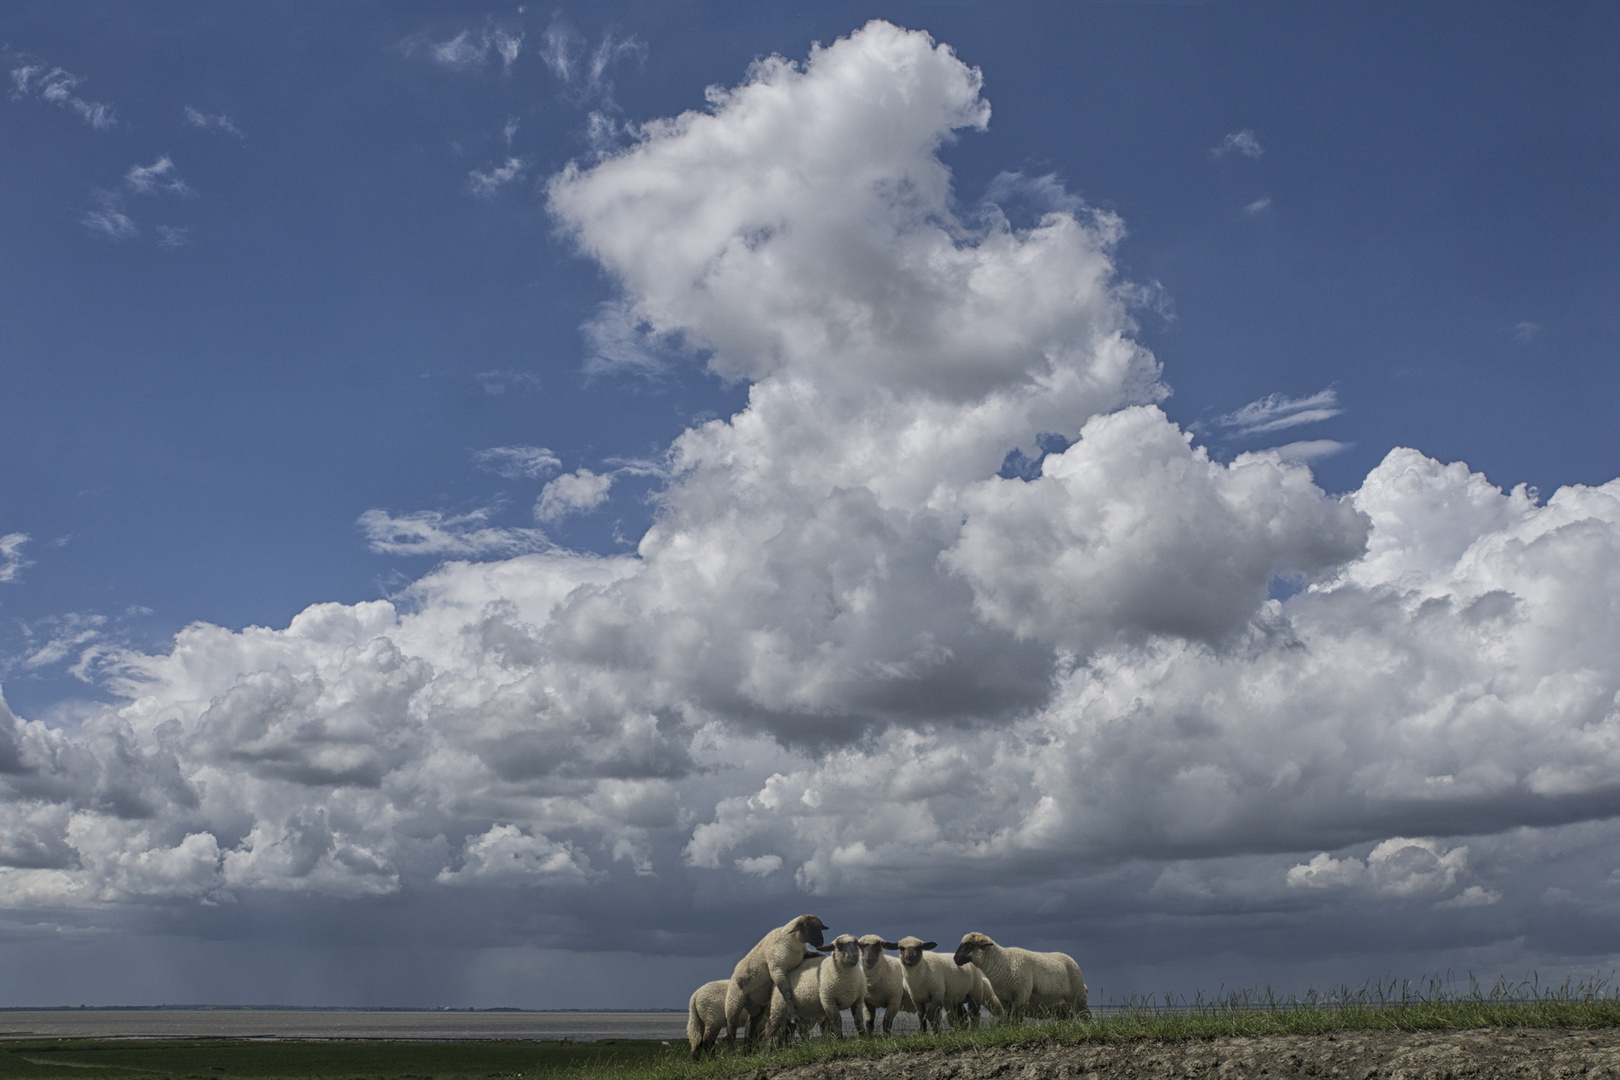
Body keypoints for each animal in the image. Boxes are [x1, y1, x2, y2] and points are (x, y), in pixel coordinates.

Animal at [725, 913, 829, 1049]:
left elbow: (817, 954)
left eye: (820, 927)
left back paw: (746, 1052)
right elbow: (786, 992)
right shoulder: (777, 970)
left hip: (758, 1007)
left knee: (750, 1027)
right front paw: (793, 1016)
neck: (793, 943)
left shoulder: (804, 955)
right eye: (808, 927)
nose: (821, 942)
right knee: (731, 1030)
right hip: (733, 1001)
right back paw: (732, 1050)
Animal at [946, 932, 1088, 1023]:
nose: (955, 959)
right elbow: (1009, 1018)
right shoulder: (1004, 999)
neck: (1003, 962)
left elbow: (1016, 1017)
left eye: (969, 945)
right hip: (1062, 1005)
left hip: (1077, 995)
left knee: (1086, 1015)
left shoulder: (1020, 995)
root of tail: (1069, 958)